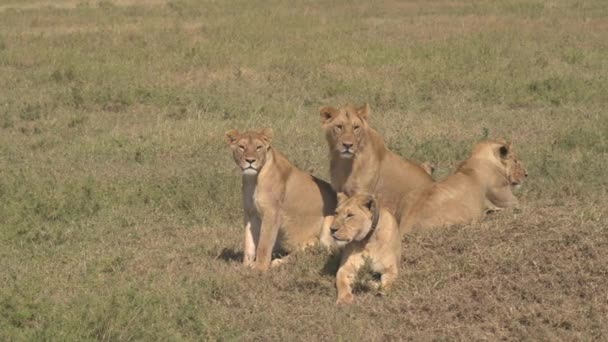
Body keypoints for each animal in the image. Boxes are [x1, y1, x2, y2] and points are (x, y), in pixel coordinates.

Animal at [224, 128, 334, 272]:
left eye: (258, 147)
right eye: (242, 147)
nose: (250, 161)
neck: (253, 179)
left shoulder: (272, 213)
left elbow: (264, 244)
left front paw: (260, 267)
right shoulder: (250, 213)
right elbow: (249, 243)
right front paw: (245, 266)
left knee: (326, 252)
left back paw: (278, 262)